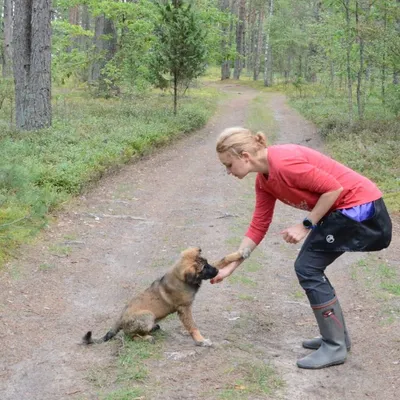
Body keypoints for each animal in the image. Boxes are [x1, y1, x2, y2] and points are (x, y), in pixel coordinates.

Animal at [82, 245, 248, 346]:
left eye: (207, 263)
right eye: (204, 268)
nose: (217, 272)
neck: (182, 278)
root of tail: (120, 318)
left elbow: (223, 259)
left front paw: (239, 254)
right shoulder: (184, 309)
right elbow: (193, 326)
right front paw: (201, 341)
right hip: (147, 315)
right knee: (131, 336)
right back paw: (147, 337)